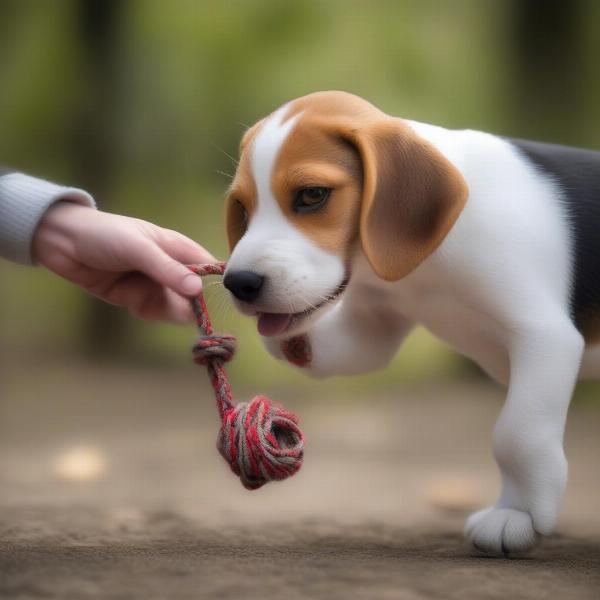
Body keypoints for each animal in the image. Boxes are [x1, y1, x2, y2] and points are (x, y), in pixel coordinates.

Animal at [220, 91, 600, 556]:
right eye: (242, 207)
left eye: (312, 195)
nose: (239, 283)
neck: (430, 261)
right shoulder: (373, 325)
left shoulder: (544, 336)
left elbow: (517, 433)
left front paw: (519, 516)